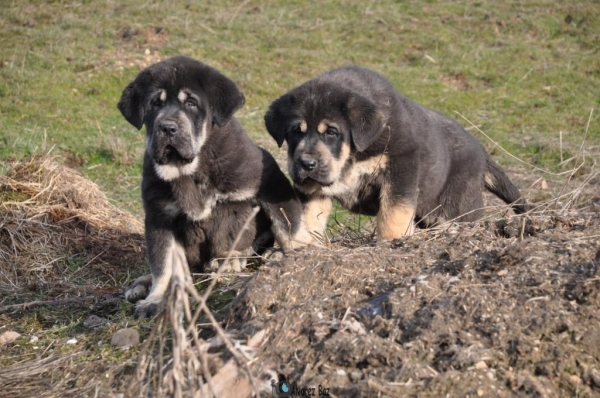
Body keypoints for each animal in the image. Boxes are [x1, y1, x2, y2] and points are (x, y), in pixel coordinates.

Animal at [118, 55, 314, 318]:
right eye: (154, 105)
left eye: (191, 103)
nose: (167, 128)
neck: (190, 170)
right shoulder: (159, 216)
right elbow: (163, 264)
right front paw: (155, 299)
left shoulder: (271, 185)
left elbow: (289, 227)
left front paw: (302, 256)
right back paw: (141, 284)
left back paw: (231, 260)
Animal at [264, 67, 528, 241]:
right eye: (295, 132)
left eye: (331, 132)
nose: (306, 163)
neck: (353, 156)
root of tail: (482, 152)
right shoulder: (313, 187)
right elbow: (309, 216)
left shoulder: (401, 165)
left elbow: (394, 212)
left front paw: (392, 241)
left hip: (459, 205)